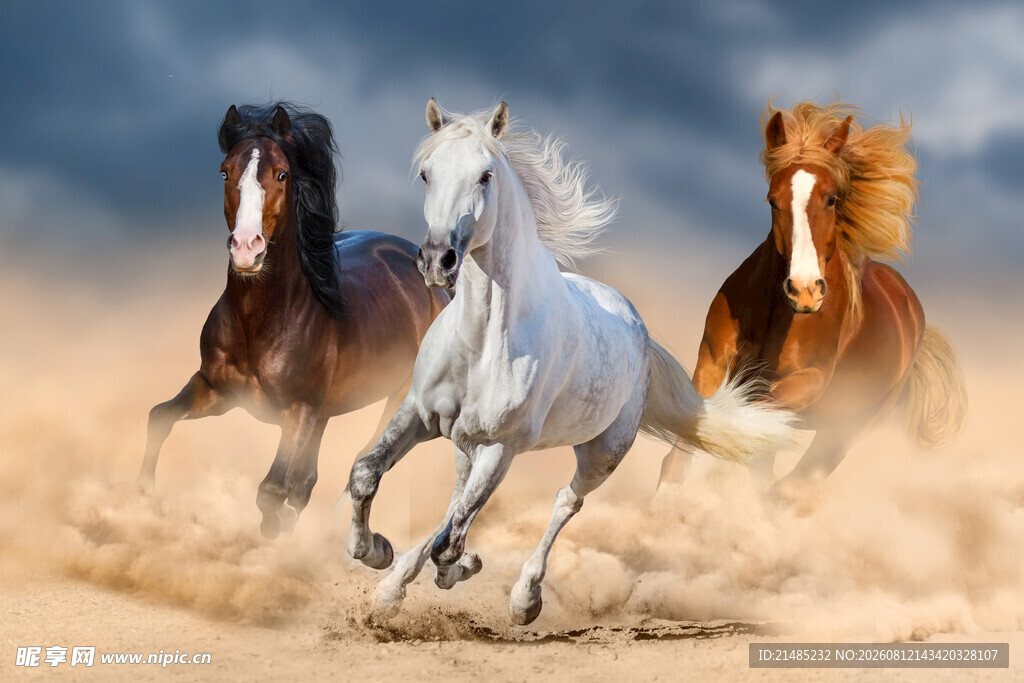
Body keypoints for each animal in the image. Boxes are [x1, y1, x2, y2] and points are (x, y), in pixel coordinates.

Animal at [138, 102, 449, 538]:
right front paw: (144, 496)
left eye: (282, 173)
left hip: (400, 398)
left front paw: (272, 537)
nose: (246, 248)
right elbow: (159, 418)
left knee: (365, 461)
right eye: (225, 171)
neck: (262, 321)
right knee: (306, 481)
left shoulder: (298, 412)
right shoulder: (217, 390)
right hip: (326, 411)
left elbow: (271, 490)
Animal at [344, 99, 798, 625]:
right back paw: (394, 586)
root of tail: (638, 328)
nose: (439, 260)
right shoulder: (420, 412)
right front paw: (376, 553)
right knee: (457, 500)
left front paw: (457, 568)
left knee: (564, 502)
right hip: (466, 443)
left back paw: (524, 598)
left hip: (601, 453)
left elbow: (451, 542)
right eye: (425, 173)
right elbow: (367, 475)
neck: (482, 342)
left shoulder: (501, 447)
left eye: (485, 176)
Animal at [658, 101, 968, 496]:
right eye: (773, 201)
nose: (804, 290)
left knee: (792, 483)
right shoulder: (712, 362)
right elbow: (683, 451)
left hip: (847, 429)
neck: (775, 314)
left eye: (831, 198)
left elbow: (748, 418)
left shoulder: (808, 383)